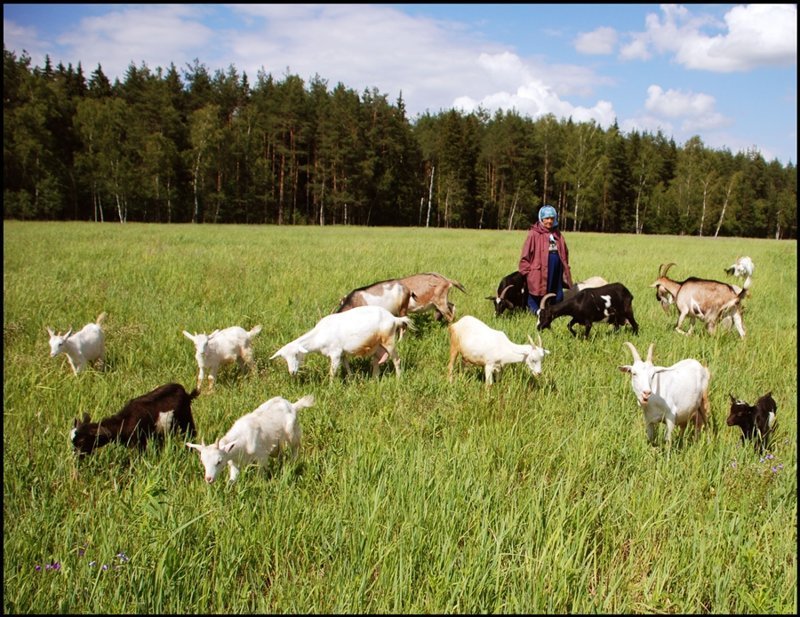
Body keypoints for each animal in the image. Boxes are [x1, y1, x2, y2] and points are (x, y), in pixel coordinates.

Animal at [70, 382, 198, 454]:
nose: (76, 456)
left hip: (186, 418)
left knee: (191, 433)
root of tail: (186, 393)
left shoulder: (138, 442)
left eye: (82, 441)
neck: (123, 422)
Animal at [186, 392, 314, 484]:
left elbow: (261, 475)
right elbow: (232, 481)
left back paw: (293, 464)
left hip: (293, 433)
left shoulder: (261, 457)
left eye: (219, 461)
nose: (209, 479)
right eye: (203, 462)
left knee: (295, 448)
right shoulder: (234, 464)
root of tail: (292, 405)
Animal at [272, 306, 416, 378]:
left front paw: (331, 388)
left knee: (396, 360)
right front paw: (352, 380)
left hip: (389, 340)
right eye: (284, 358)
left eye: (296, 354)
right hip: (377, 344)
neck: (319, 335)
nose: (292, 372)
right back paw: (375, 379)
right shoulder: (342, 353)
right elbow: (347, 367)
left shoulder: (335, 354)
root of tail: (394, 318)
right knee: (377, 360)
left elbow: (332, 373)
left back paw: (398, 379)